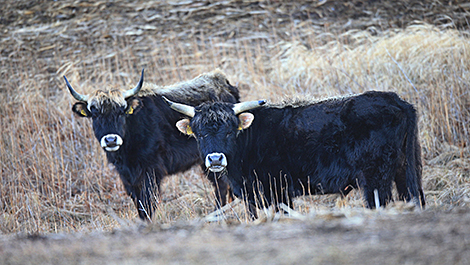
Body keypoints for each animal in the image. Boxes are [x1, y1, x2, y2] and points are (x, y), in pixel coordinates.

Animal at [64, 69, 239, 219]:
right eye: (95, 114)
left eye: (121, 112)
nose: (111, 140)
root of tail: (223, 81)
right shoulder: (127, 177)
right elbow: (138, 202)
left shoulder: (151, 170)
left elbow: (148, 202)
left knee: (221, 186)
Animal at [165, 91, 426, 212]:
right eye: (199, 134)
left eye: (229, 131)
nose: (215, 158)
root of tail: (396, 100)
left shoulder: (277, 192)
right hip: (406, 170)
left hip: (375, 178)